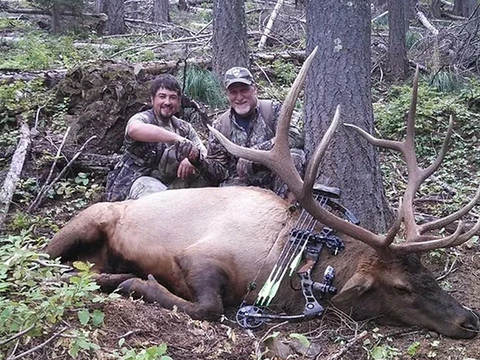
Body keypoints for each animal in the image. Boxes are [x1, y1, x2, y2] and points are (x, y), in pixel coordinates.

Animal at [46, 47, 480, 338]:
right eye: (401, 287)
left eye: (430, 275)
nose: (469, 320)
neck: (289, 269)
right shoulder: (198, 256)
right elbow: (209, 307)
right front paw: (139, 283)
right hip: (87, 220)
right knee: (49, 260)